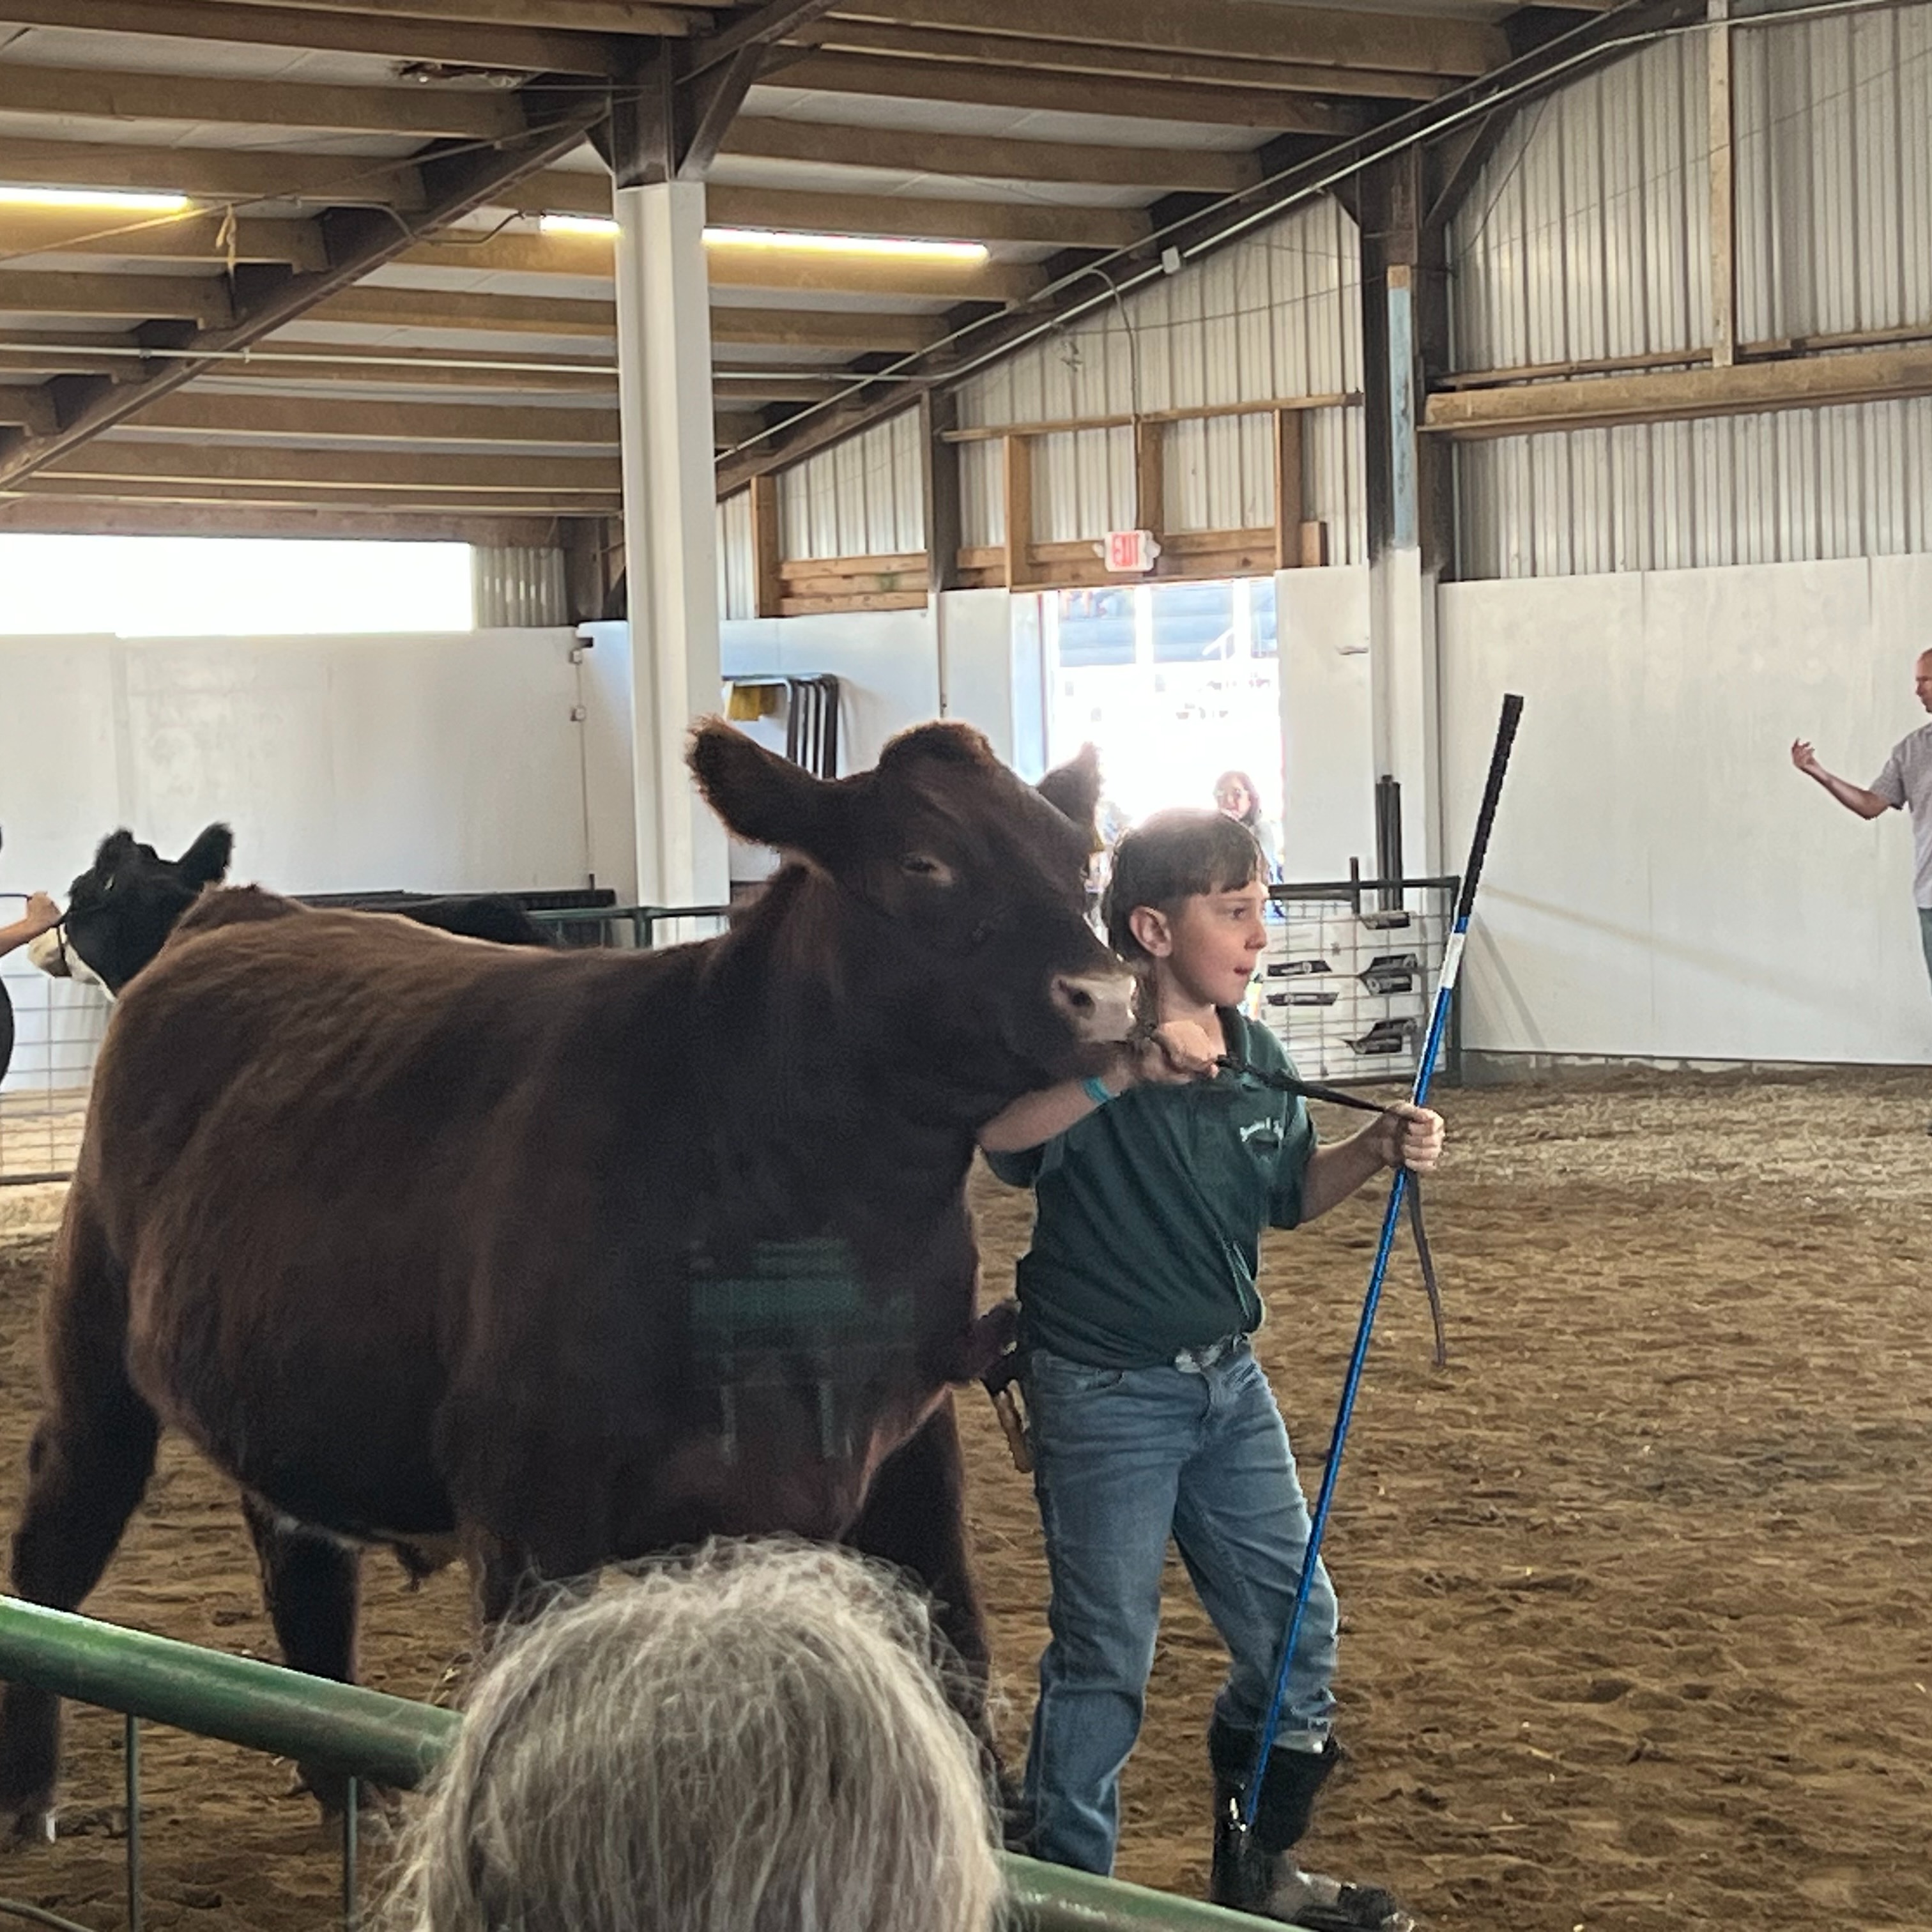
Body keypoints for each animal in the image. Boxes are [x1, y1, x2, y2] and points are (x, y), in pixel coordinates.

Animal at [0, 718, 1128, 1831]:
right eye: (922, 861)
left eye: (1082, 862)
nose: (1108, 996)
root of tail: (235, 912)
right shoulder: (530, 1506)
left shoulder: (908, 1458)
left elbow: (961, 1675)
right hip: (95, 1331)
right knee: (64, 1519)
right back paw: (32, 1793)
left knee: (302, 1558)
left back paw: (349, 1794)